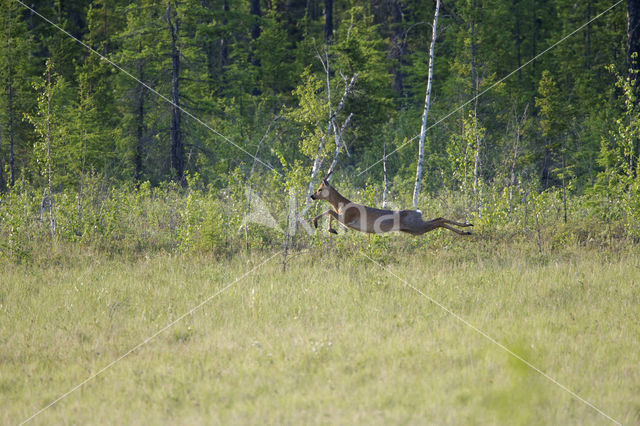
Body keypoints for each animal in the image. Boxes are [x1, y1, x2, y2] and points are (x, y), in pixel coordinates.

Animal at [310, 177, 470, 235]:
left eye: (319, 189)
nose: (312, 196)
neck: (340, 204)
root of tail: (418, 212)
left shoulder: (347, 218)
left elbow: (329, 211)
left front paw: (323, 226)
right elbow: (329, 211)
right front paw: (330, 229)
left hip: (416, 226)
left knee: (440, 220)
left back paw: (466, 229)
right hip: (414, 229)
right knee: (439, 219)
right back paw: (467, 228)